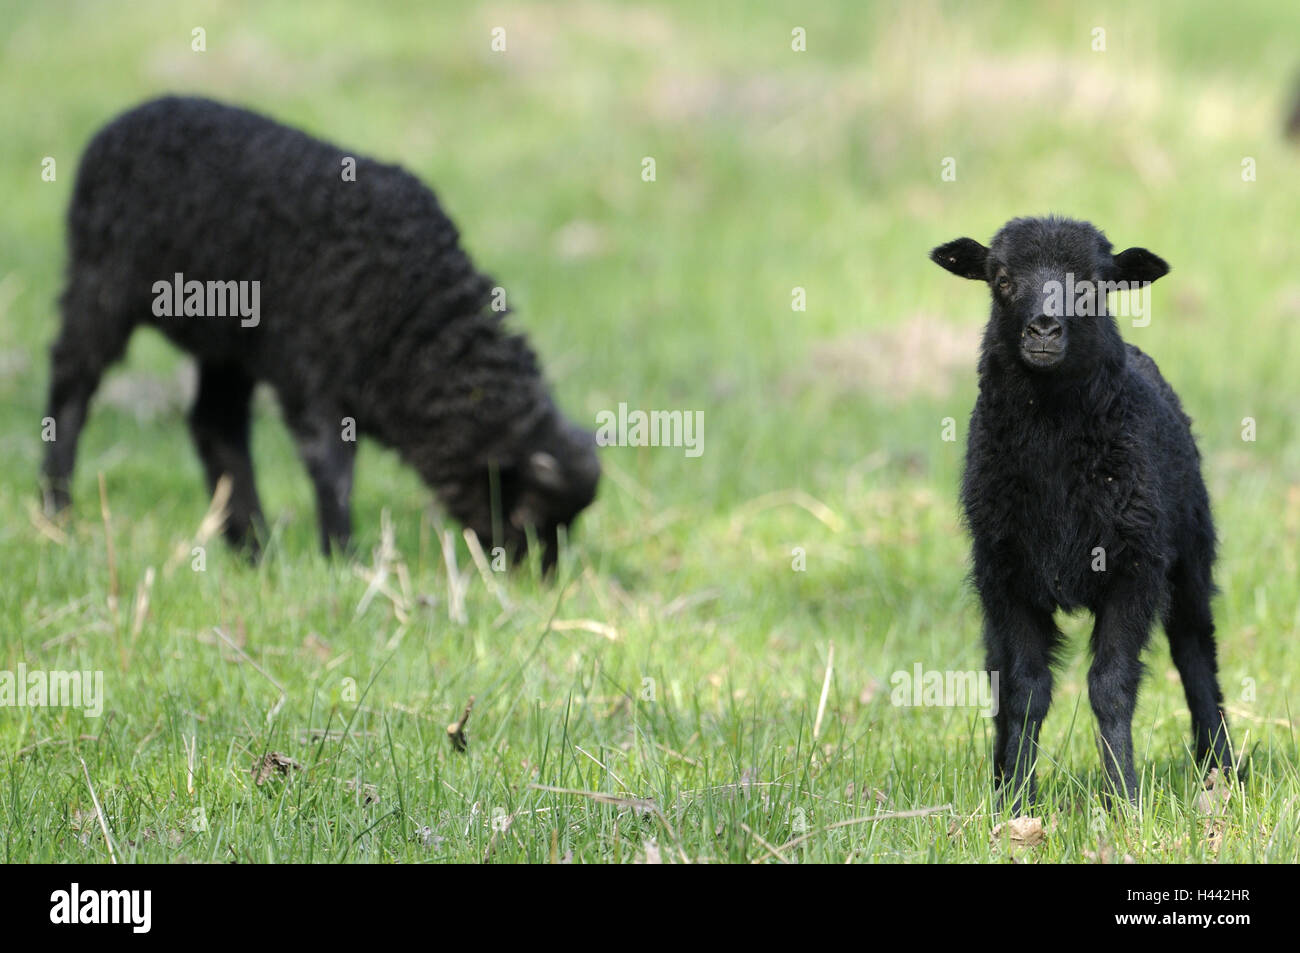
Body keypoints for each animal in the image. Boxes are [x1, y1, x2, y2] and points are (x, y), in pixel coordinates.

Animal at [39, 96, 598, 569]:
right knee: (71, 386)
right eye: (527, 513)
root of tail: (124, 118)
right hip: (101, 283)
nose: (539, 579)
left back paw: (252, 548)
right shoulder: (313, 376)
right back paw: (57, 512)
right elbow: (333, 472)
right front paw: (343, 559)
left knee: (214, 424)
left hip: (229, 343)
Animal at [930, 217, 1232, 811]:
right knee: (994, 671)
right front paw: (1015, 802)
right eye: (1001, 278)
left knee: (1194, 650)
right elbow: (1023, 690)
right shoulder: (1007, 577)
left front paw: (1125, 801)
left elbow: (1110, 688)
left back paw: (1221, 768)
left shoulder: (1133, 569)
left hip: (1189, 553)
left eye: (1093, 285)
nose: (1044, 329)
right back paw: (998, 776)